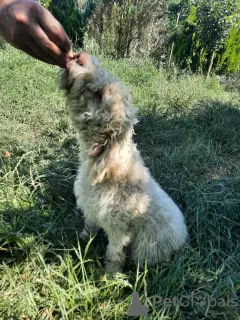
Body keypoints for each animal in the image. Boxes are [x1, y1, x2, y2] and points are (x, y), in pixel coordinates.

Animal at [58, 53, 188, 272]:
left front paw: (110, 274)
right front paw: (82, 239)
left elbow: (114, 253)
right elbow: (89, 226)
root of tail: (182, 240)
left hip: (146, 247)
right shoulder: (91, 209)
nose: (82, 56)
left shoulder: (119, 228)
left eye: (100, 95)